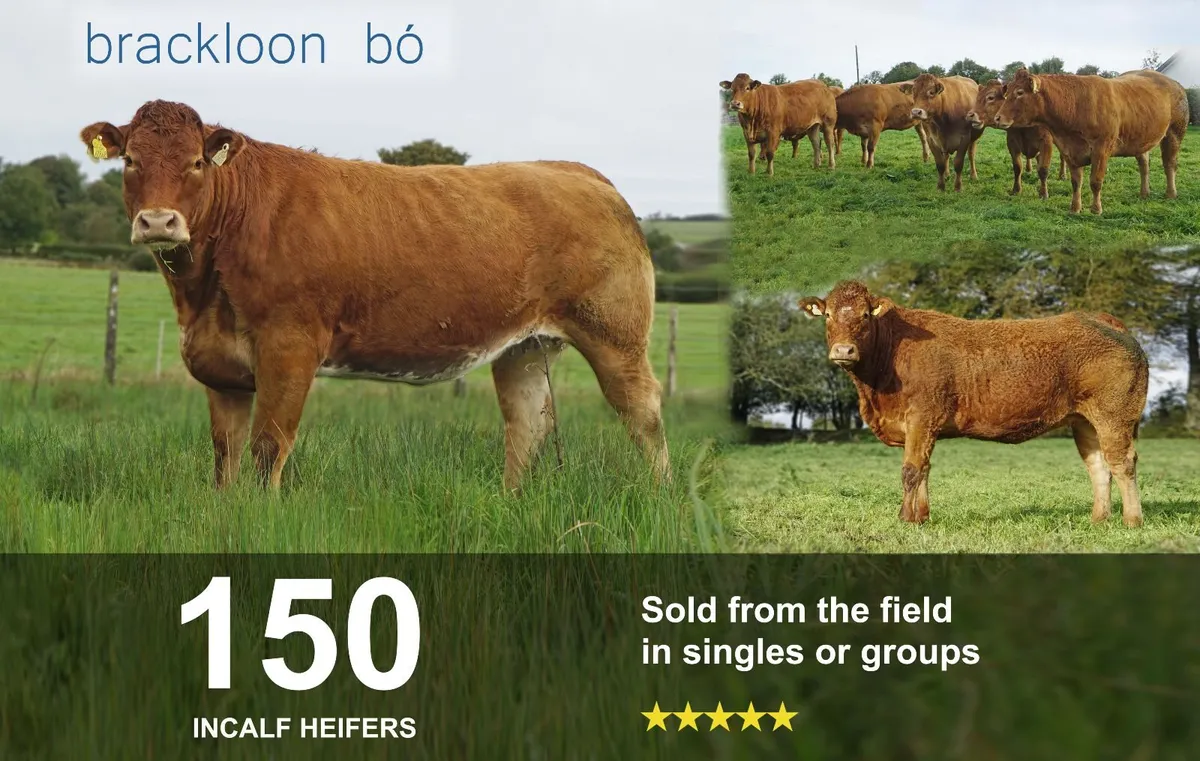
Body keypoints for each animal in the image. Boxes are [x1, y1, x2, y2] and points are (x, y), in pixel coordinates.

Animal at [79, 100, 670, 491]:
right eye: (130, 161)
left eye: (197, 162)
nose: (158, 221)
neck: (201, 297)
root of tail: (575, 170)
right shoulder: (220, 364)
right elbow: (225, 456)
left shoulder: (289, 347)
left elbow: (268, 448)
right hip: (523, 346)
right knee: (528, 422)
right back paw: (511, 501)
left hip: (615, 334)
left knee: (643, 412)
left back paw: (662, 498)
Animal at [800, 281, 1149, 527]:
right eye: (828, 315)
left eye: (863, 315)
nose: (843, 351)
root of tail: (1101, 317)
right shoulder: (917, 426)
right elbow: (923, 468)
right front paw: (920, 518)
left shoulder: (922, 417)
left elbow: (911, 470)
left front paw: (904, 518)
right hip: (1084, 421)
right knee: (1099, 466)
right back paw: (1098, 520)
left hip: (1114, 416)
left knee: (1122, 462)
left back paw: (1132, 520)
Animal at [993, 67, 1188, 214]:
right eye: (1007, 92)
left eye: (1019, 92)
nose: (997, 118)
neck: (1076, 104)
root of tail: (1174, 83)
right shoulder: (1069, 149)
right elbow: (1076, 182)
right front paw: (1074, 208)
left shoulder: (1102, 149)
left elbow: (1095, 181)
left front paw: (1096, 209)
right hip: (1140, 138)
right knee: (1144, 164)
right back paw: (1144, 192)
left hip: (1174, 133)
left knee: (1170, 164)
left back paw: (1171, 193)